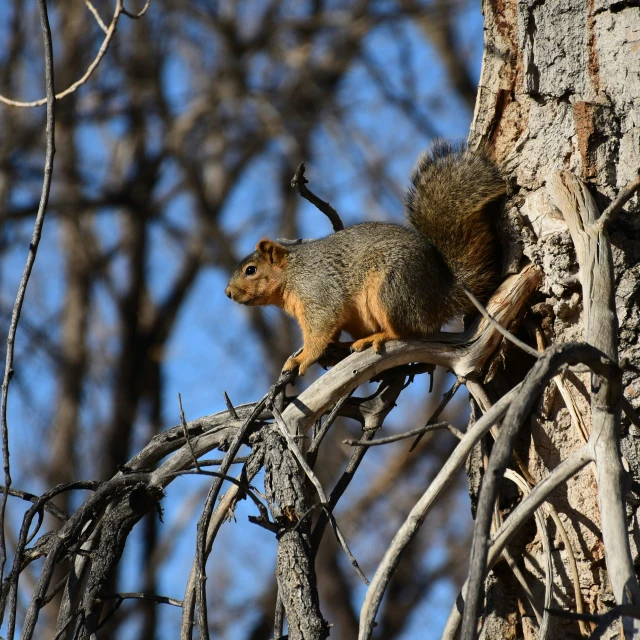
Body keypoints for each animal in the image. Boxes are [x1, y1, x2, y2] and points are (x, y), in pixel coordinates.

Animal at [225, 141, 504, 376]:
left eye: (250, 270)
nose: (228, 293)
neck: (292, 274)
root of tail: (440, 296)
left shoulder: (318, 293)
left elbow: (319, 331)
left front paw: (303, 358)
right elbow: (328, 333)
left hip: (392, 289)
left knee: (407, 329)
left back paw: (377, 337)